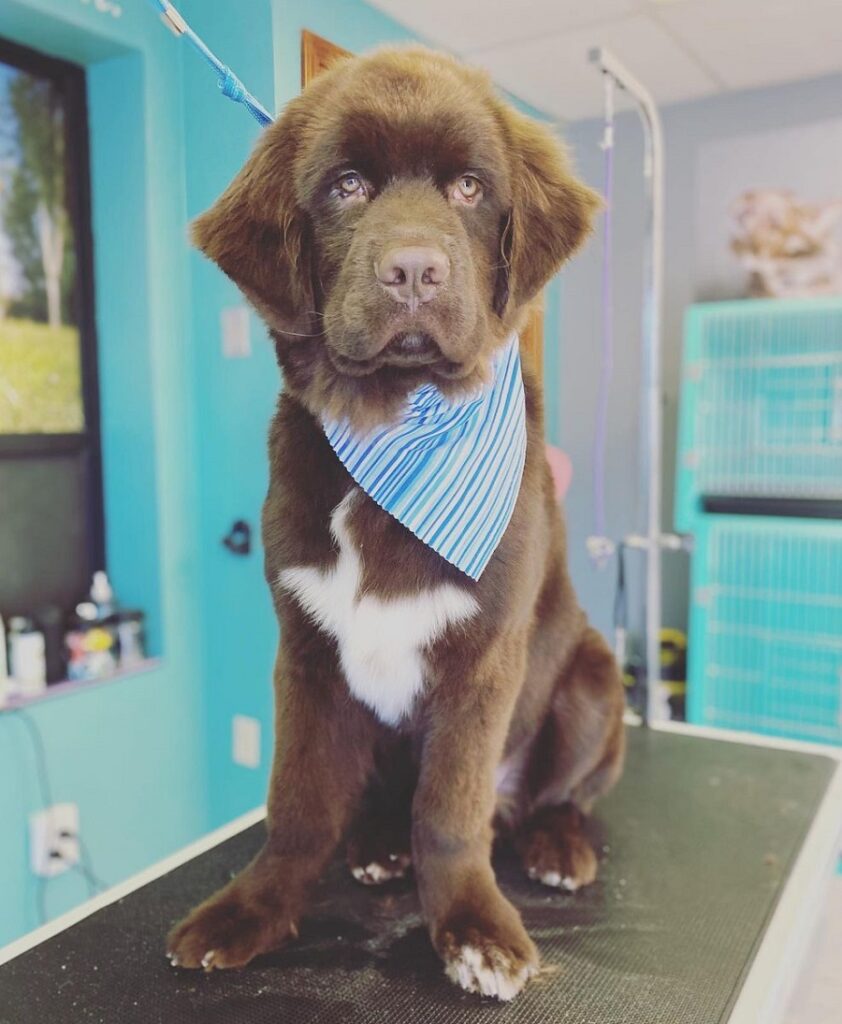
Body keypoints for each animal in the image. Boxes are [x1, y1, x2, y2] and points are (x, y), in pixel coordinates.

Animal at [166, 46, 626, 999]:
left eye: (469, 188)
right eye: (346, 185)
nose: (414, 270)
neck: (392, 425)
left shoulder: (485, 657)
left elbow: (450, 808)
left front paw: (474, 929)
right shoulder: (305, 651)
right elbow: (298, 801)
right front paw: (252, 910)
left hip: (595, 680)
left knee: (556, 795)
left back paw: (555, 844)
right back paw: (378, 844)